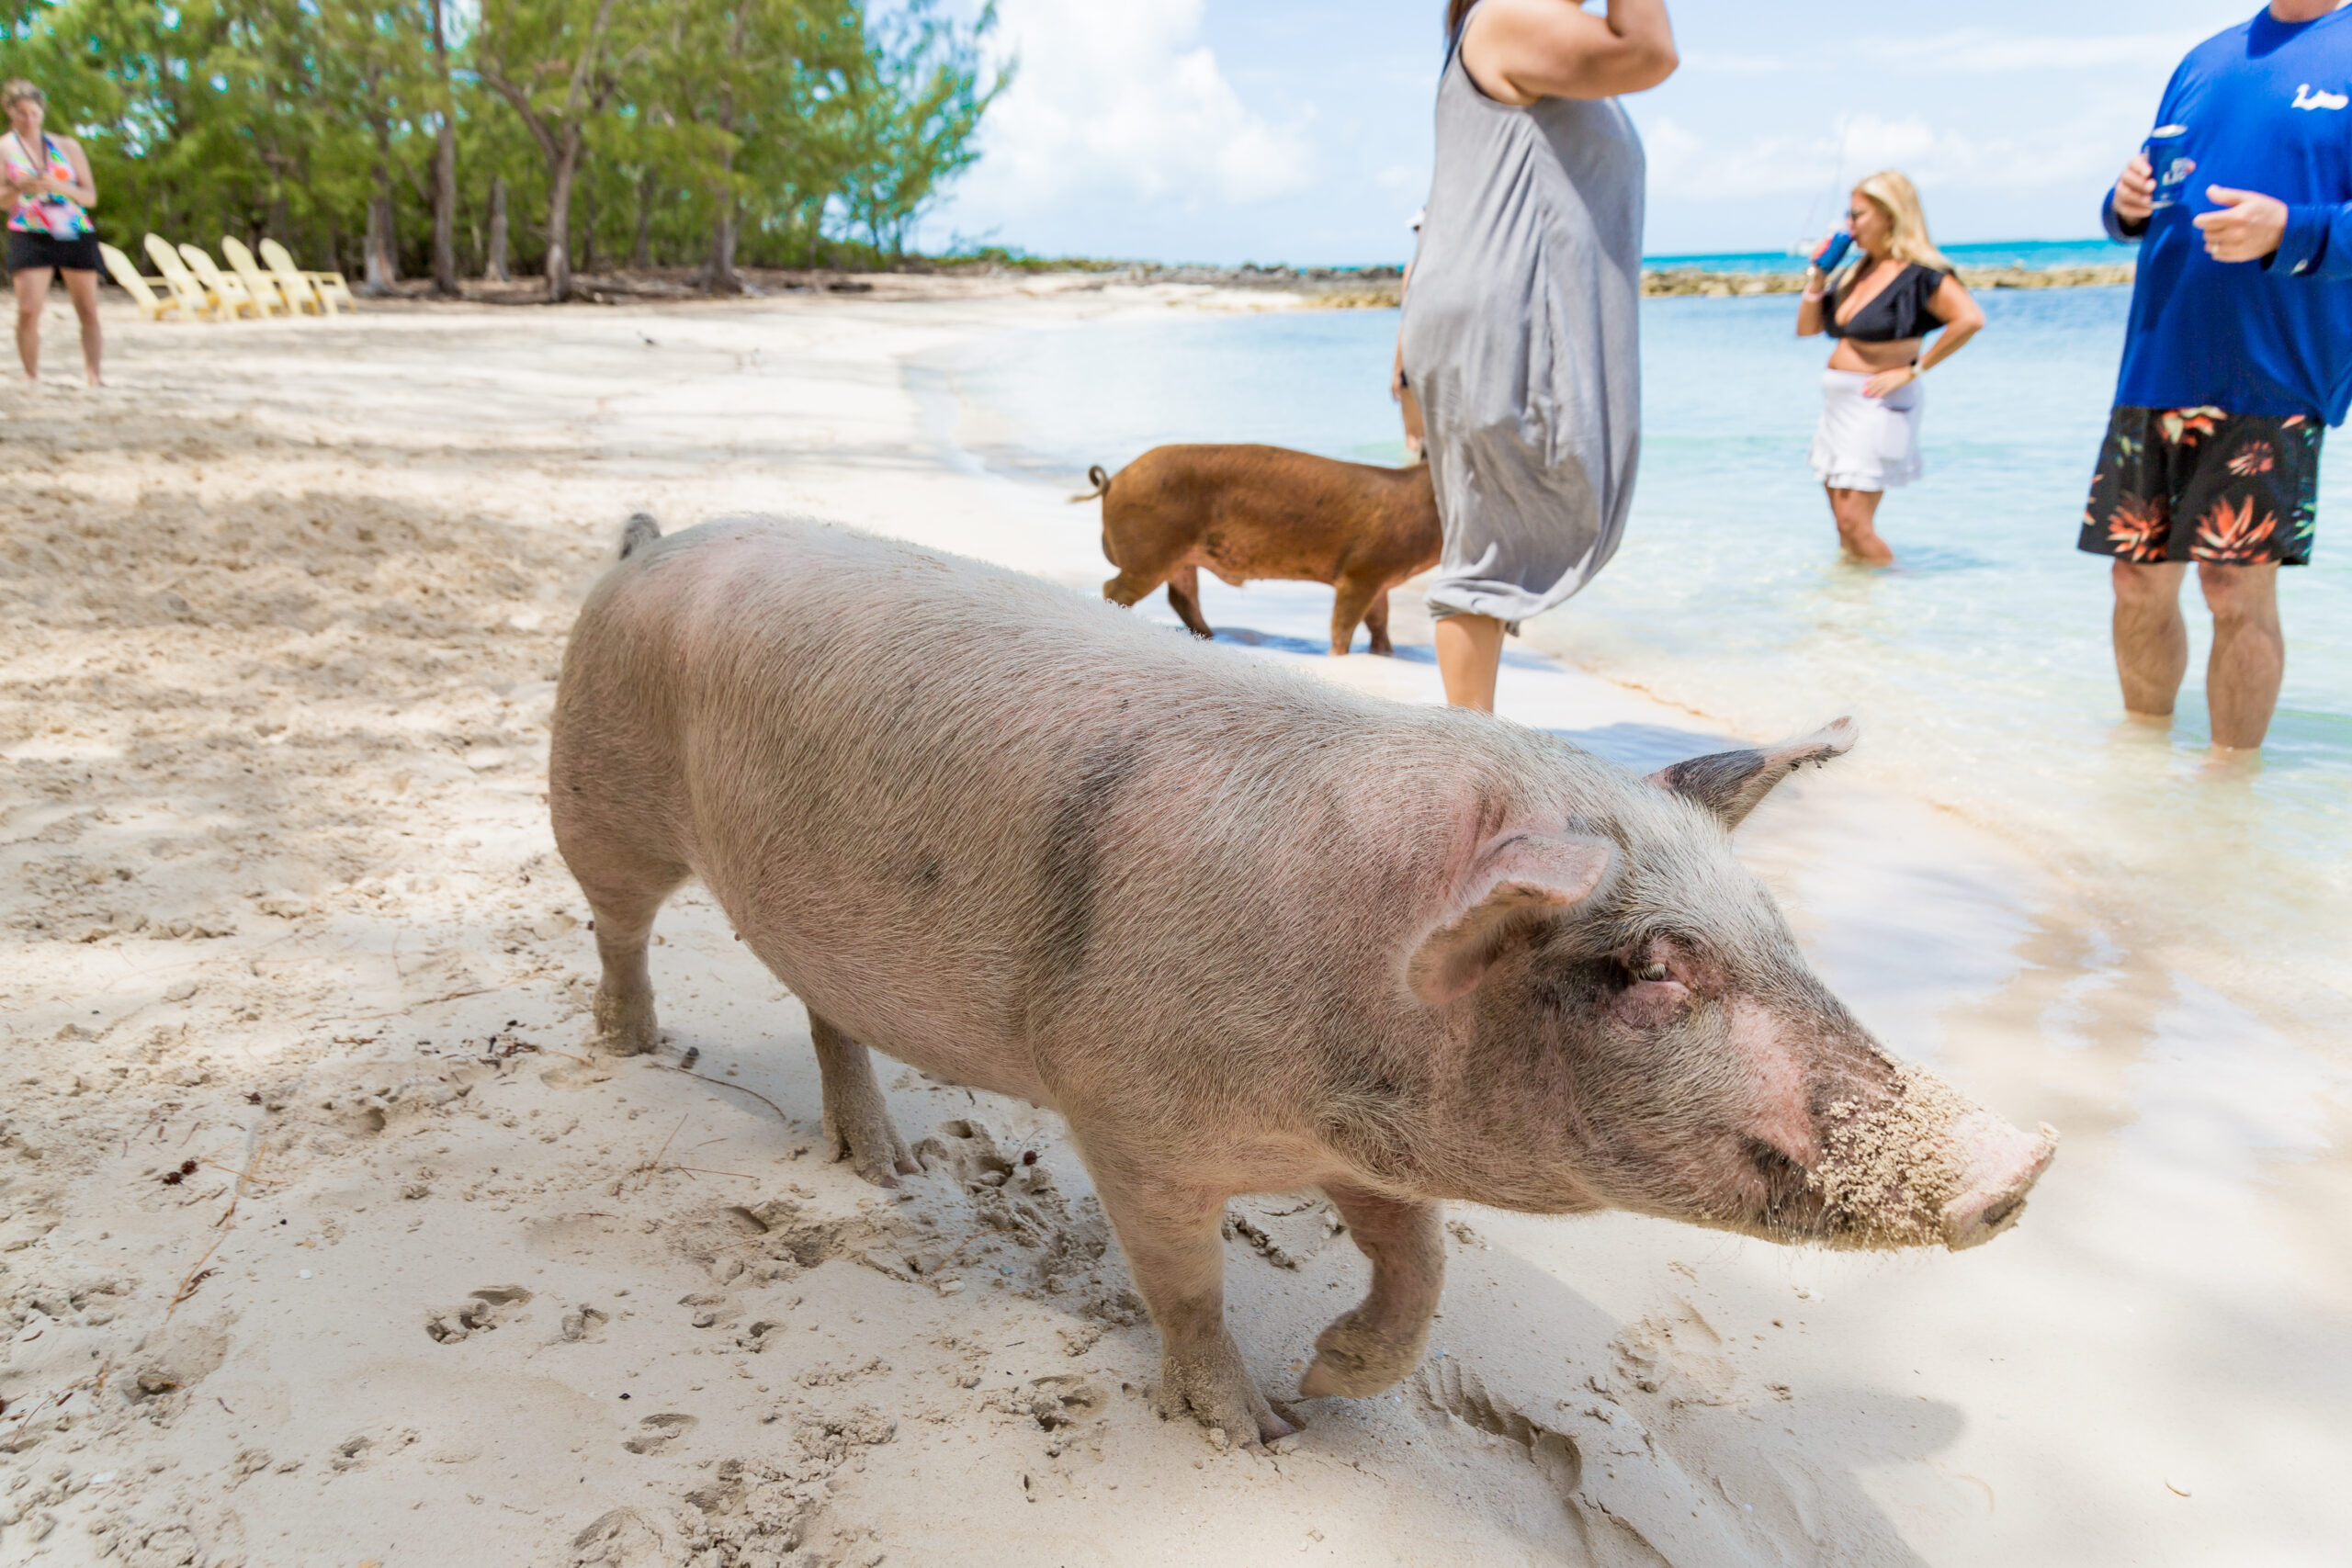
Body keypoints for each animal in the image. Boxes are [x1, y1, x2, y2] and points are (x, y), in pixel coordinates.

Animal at [550, 513, 2056, 1450]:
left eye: (1779, 931)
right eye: (1642, 965)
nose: (2021, 1162)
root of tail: (645, 546)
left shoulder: (1368, 1148)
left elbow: (1423, 1267)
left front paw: (1333, 1381)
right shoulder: (1123, 1109)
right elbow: (1185, 1282)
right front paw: (1258, 1432)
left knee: (828, 1013)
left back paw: (890, 1166)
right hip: (597, 788)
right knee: (618, 925)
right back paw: (639, 1055)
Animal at [1083, 443, 1440, 656]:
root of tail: (1113, 480)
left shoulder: (1381, 577)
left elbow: (1379, 620)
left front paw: (1386, 654)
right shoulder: (1361, 572)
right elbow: (1344, 624)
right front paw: (1339, 657)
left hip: (1180, 558)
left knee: (1182, 597)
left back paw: (1211, 638)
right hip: (1152, 551)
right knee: (1115, 588)